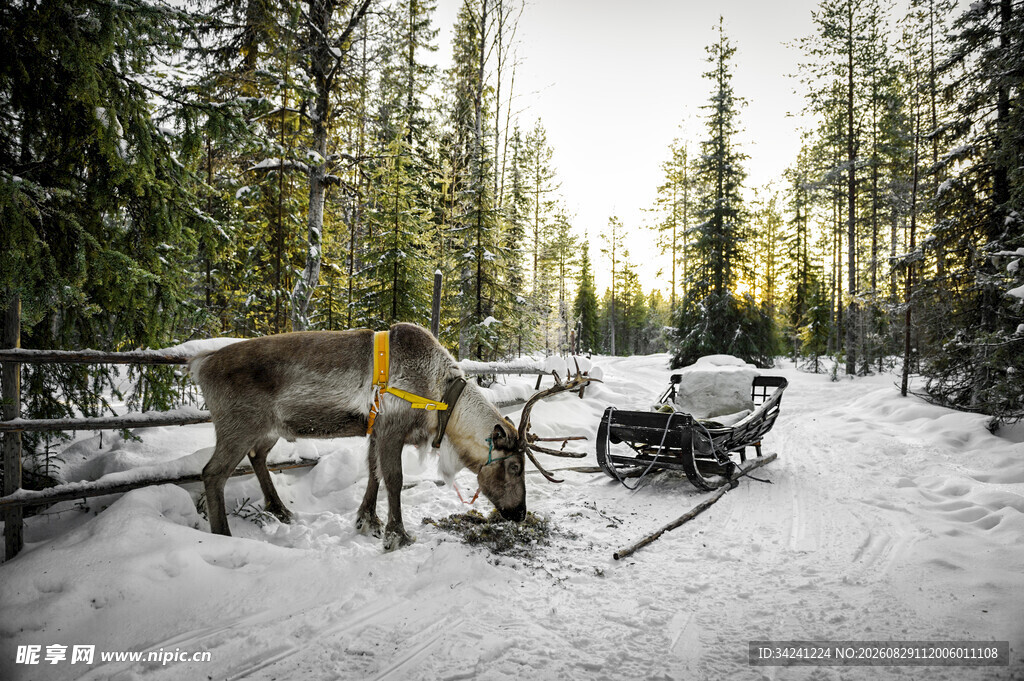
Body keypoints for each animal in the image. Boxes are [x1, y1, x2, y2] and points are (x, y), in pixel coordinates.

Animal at [188, 322, 589, 551]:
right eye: (516, 468)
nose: (520, 514)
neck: (441, 399)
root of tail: (199, 366)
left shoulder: (375, 429)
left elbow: (373, 474)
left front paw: (368, 521)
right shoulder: (392, 428)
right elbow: (393, 479)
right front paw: (397, 535)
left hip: (268, 429)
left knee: (256, 458)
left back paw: (280, 511)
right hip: (239, 425)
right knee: (213, 472)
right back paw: (223, 535)